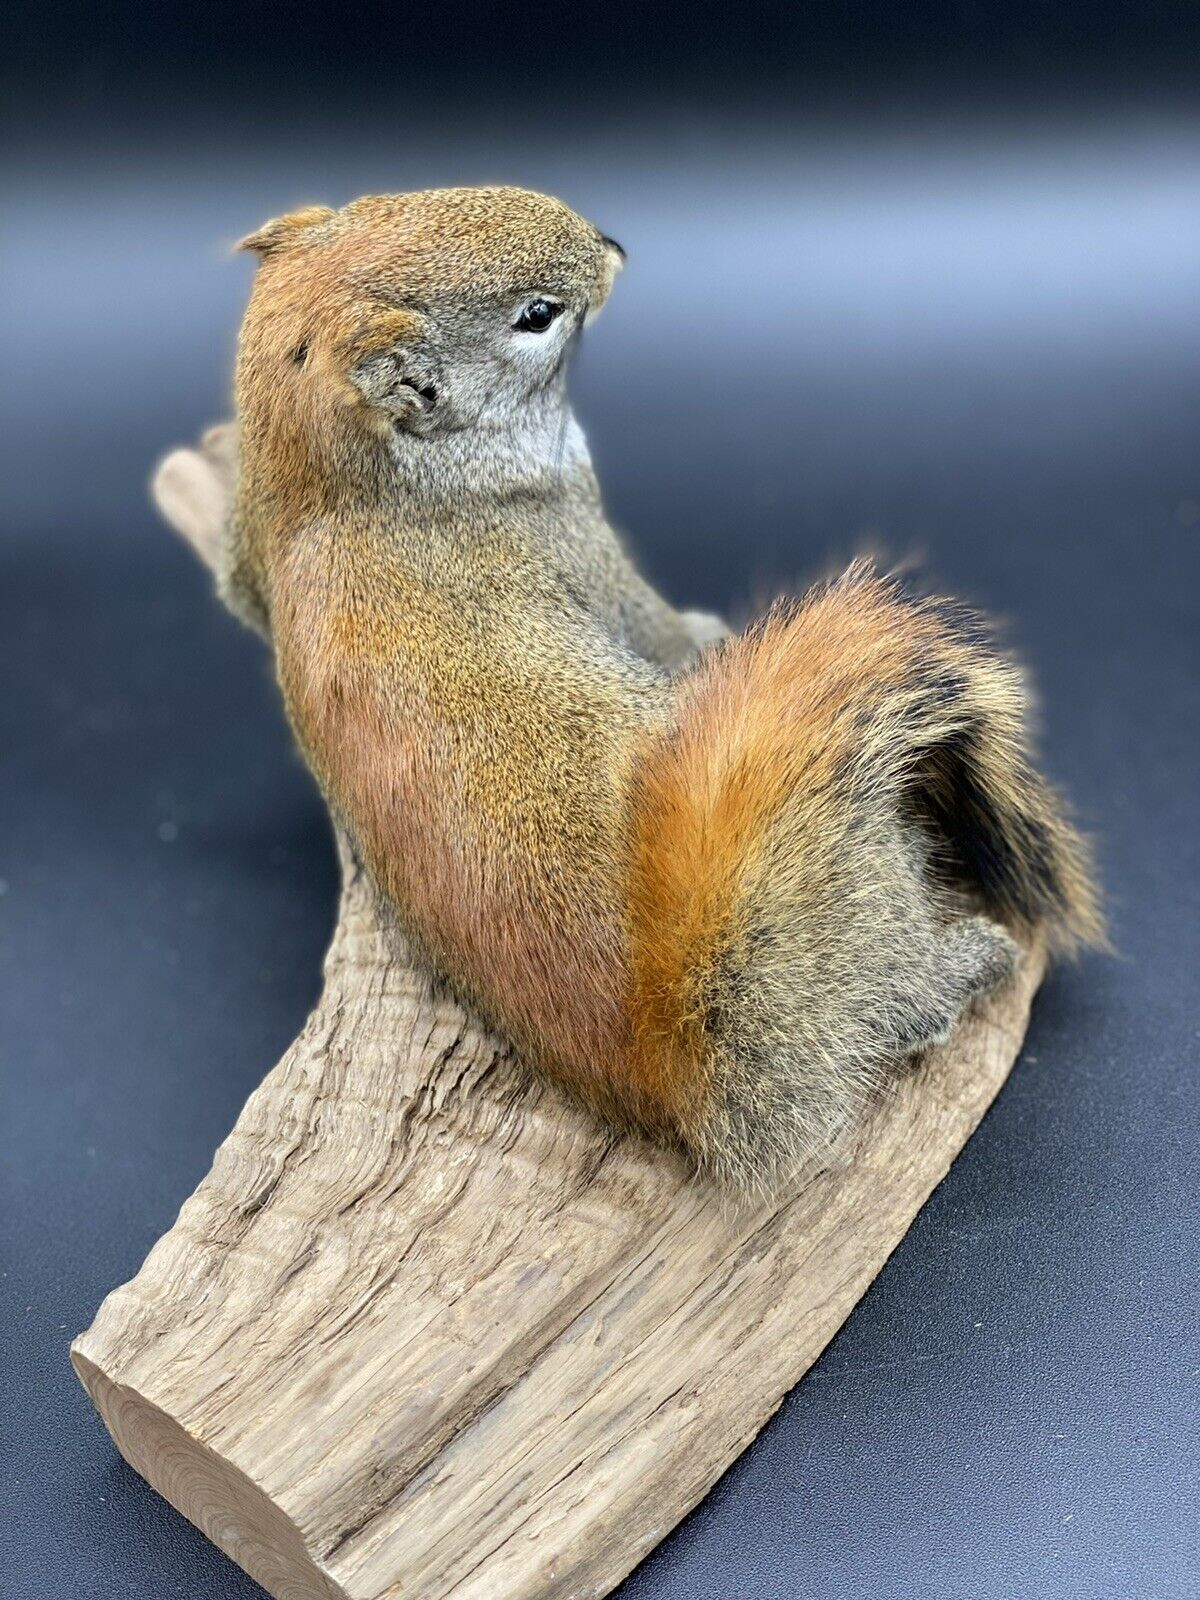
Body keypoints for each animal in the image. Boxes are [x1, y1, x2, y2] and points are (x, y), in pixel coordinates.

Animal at [218, 185, 1102, 1187]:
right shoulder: (583, 545)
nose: (613, 246)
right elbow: (664, 630)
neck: (341, 488)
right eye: (535, 315)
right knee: (900, 999)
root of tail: (669, 1037)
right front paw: (710, 638)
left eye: (382, 200)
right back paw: (969, 965)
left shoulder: (252, 548)